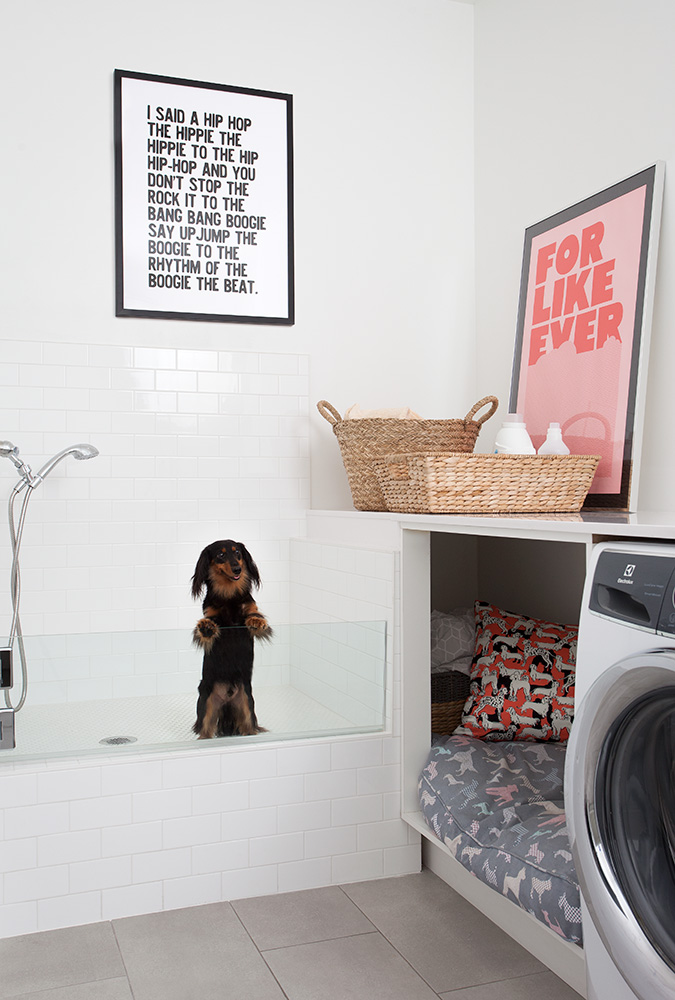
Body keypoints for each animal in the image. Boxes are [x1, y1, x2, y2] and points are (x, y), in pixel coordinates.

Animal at [190, 544, 272, 740]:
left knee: (249, 728)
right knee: (205, 732)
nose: (237, 569)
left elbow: (253, 614)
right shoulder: (211, 614)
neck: (229, 594)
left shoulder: (250, 608)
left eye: (237, 553)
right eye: (220, 555)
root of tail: (227, 700)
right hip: (207, 706)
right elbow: (209, 625)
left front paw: (257, 621)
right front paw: (206, 626)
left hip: (247, 707)